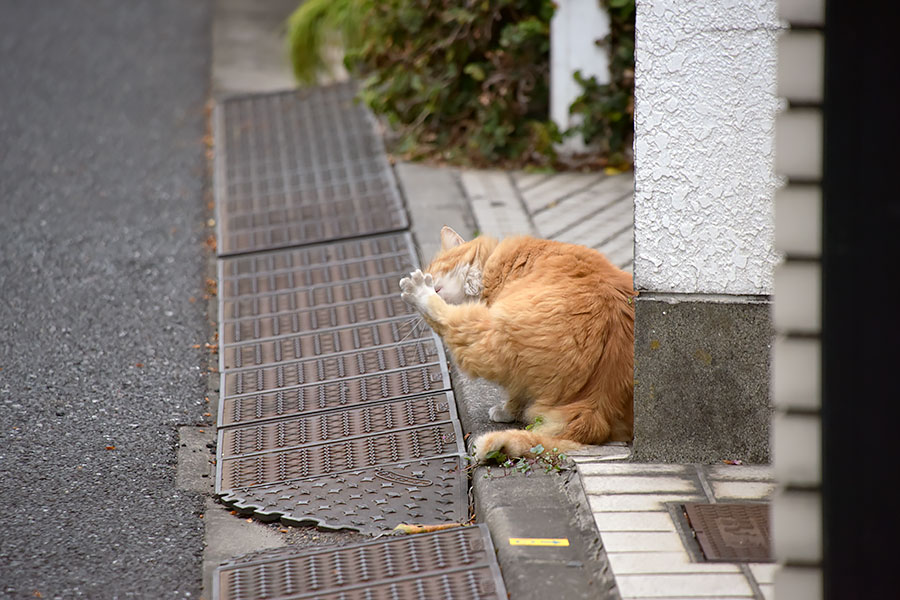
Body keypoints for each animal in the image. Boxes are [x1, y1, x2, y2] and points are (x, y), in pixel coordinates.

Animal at [398, 226, 636, 460]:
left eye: (433, 271)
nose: (427, 279)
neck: (491, 264)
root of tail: (597, 405)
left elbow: (515, 391)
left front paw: (505, 411)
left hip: (491, 331)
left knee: (447, 319)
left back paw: (417, 292)